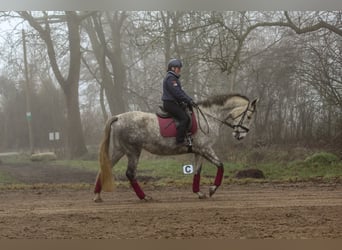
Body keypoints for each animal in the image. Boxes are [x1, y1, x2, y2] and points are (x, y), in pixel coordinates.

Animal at [92, 93, 258, 201]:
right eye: (249, 116)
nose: (240, 135)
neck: (209, 116)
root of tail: (118, 117)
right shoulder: (206, 149)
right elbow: (221, 166)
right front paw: (211, 190)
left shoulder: (199, 151)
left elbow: (197, 171)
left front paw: (199, 193)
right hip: (133, 151)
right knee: (130, 173)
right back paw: (144, 197)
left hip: (120, 150)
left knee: (106, 167)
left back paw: (97, 196)